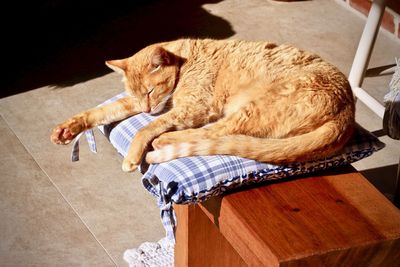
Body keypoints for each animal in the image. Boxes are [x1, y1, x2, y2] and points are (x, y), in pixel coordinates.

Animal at [51, 38, 354, 173]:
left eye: (150, 91)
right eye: (137, 96)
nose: (146, 109)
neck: (186, 60)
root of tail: (348, 110)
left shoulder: (191, 108)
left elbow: (147, 128)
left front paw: (133, 156)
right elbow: (101, 111)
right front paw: (68, 128)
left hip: (252, 108)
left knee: (214, 133)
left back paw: (165, 141)